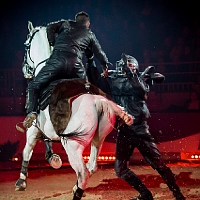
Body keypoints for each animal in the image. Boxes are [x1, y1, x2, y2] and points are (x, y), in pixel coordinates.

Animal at [14, 21, 134, 199]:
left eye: (26, 45)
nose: (25, 70)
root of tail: (97, 100)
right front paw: (53, 158)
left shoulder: (33, 130)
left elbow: (27, 150)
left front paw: (21, 181)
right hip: (98, 139)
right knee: (91, 166)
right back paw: (76, 186)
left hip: (73, 145)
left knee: (83, 173)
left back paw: (77, 190)